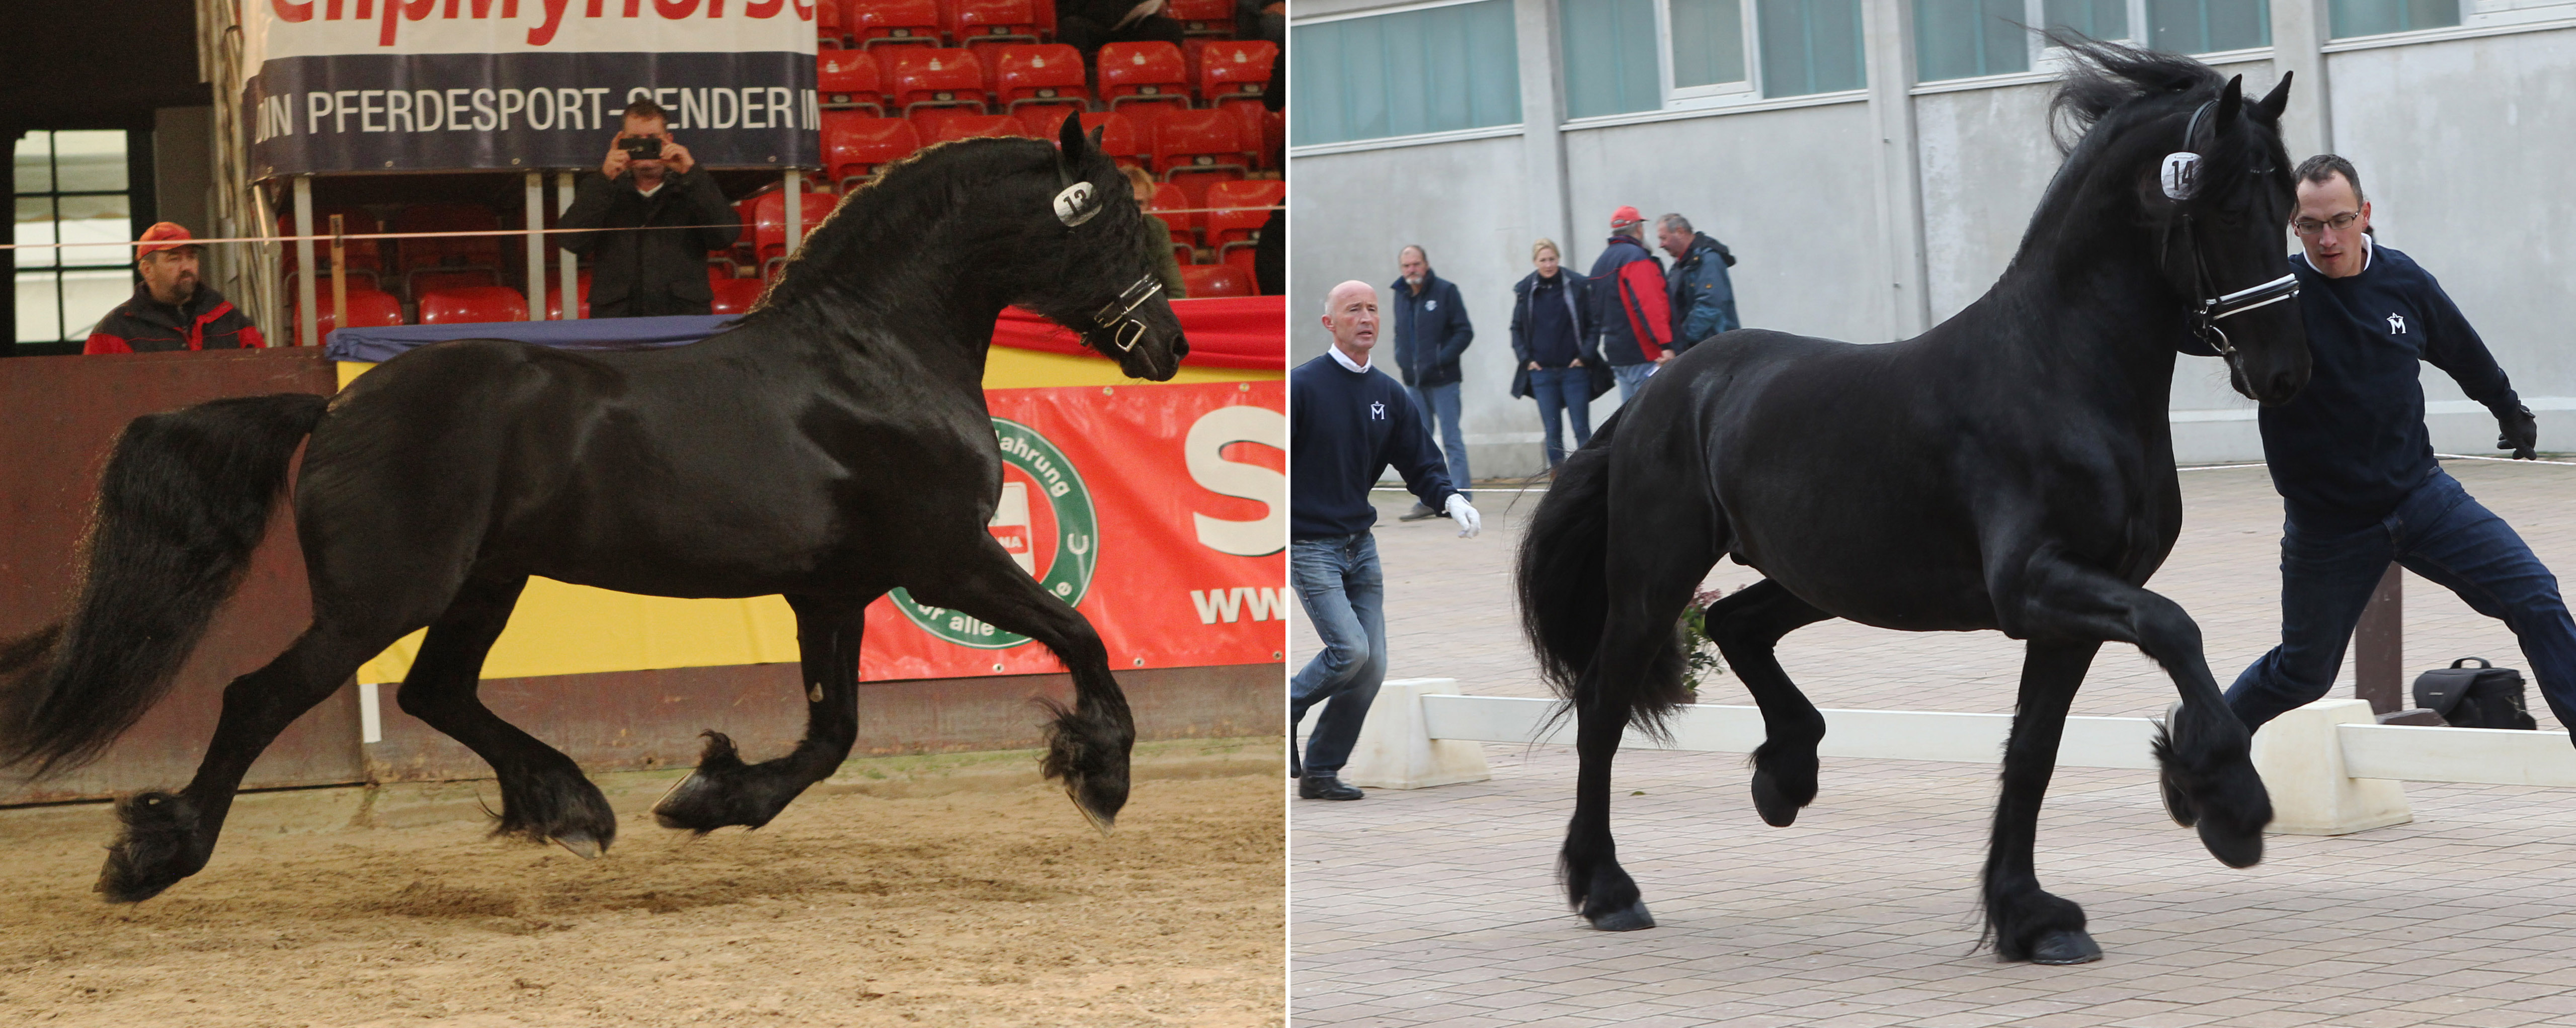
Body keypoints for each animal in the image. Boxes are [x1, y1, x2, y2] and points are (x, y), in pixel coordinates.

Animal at [0, 114, 1185, 901]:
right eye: (1120, 226)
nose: (1168, 347)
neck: (873, 357)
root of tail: (335, 404)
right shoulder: (946, 556)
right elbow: (1082, 633)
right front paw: (1104, 773)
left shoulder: (832, 592)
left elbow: (832, 733)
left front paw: (709, 796)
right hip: (384, 597)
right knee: (260, 697)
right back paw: (155, 855)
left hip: (486, 579)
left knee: (436, 691)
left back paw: (571, 806)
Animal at [1514, 42, 2308, 969]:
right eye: (2228, 205)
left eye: (2292, 205)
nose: (2282, 372)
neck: (2061, 372)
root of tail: (1659, 391)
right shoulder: (2036, 583)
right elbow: (2176, 627)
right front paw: (2224, 795)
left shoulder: (2071, 610)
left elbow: (2033, 750)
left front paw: (2031, 915)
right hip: (1654, 575)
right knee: (1604, 705)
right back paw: (1607, 887)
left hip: (1820, 576)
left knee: (1738, 623)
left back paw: (1786, 772)